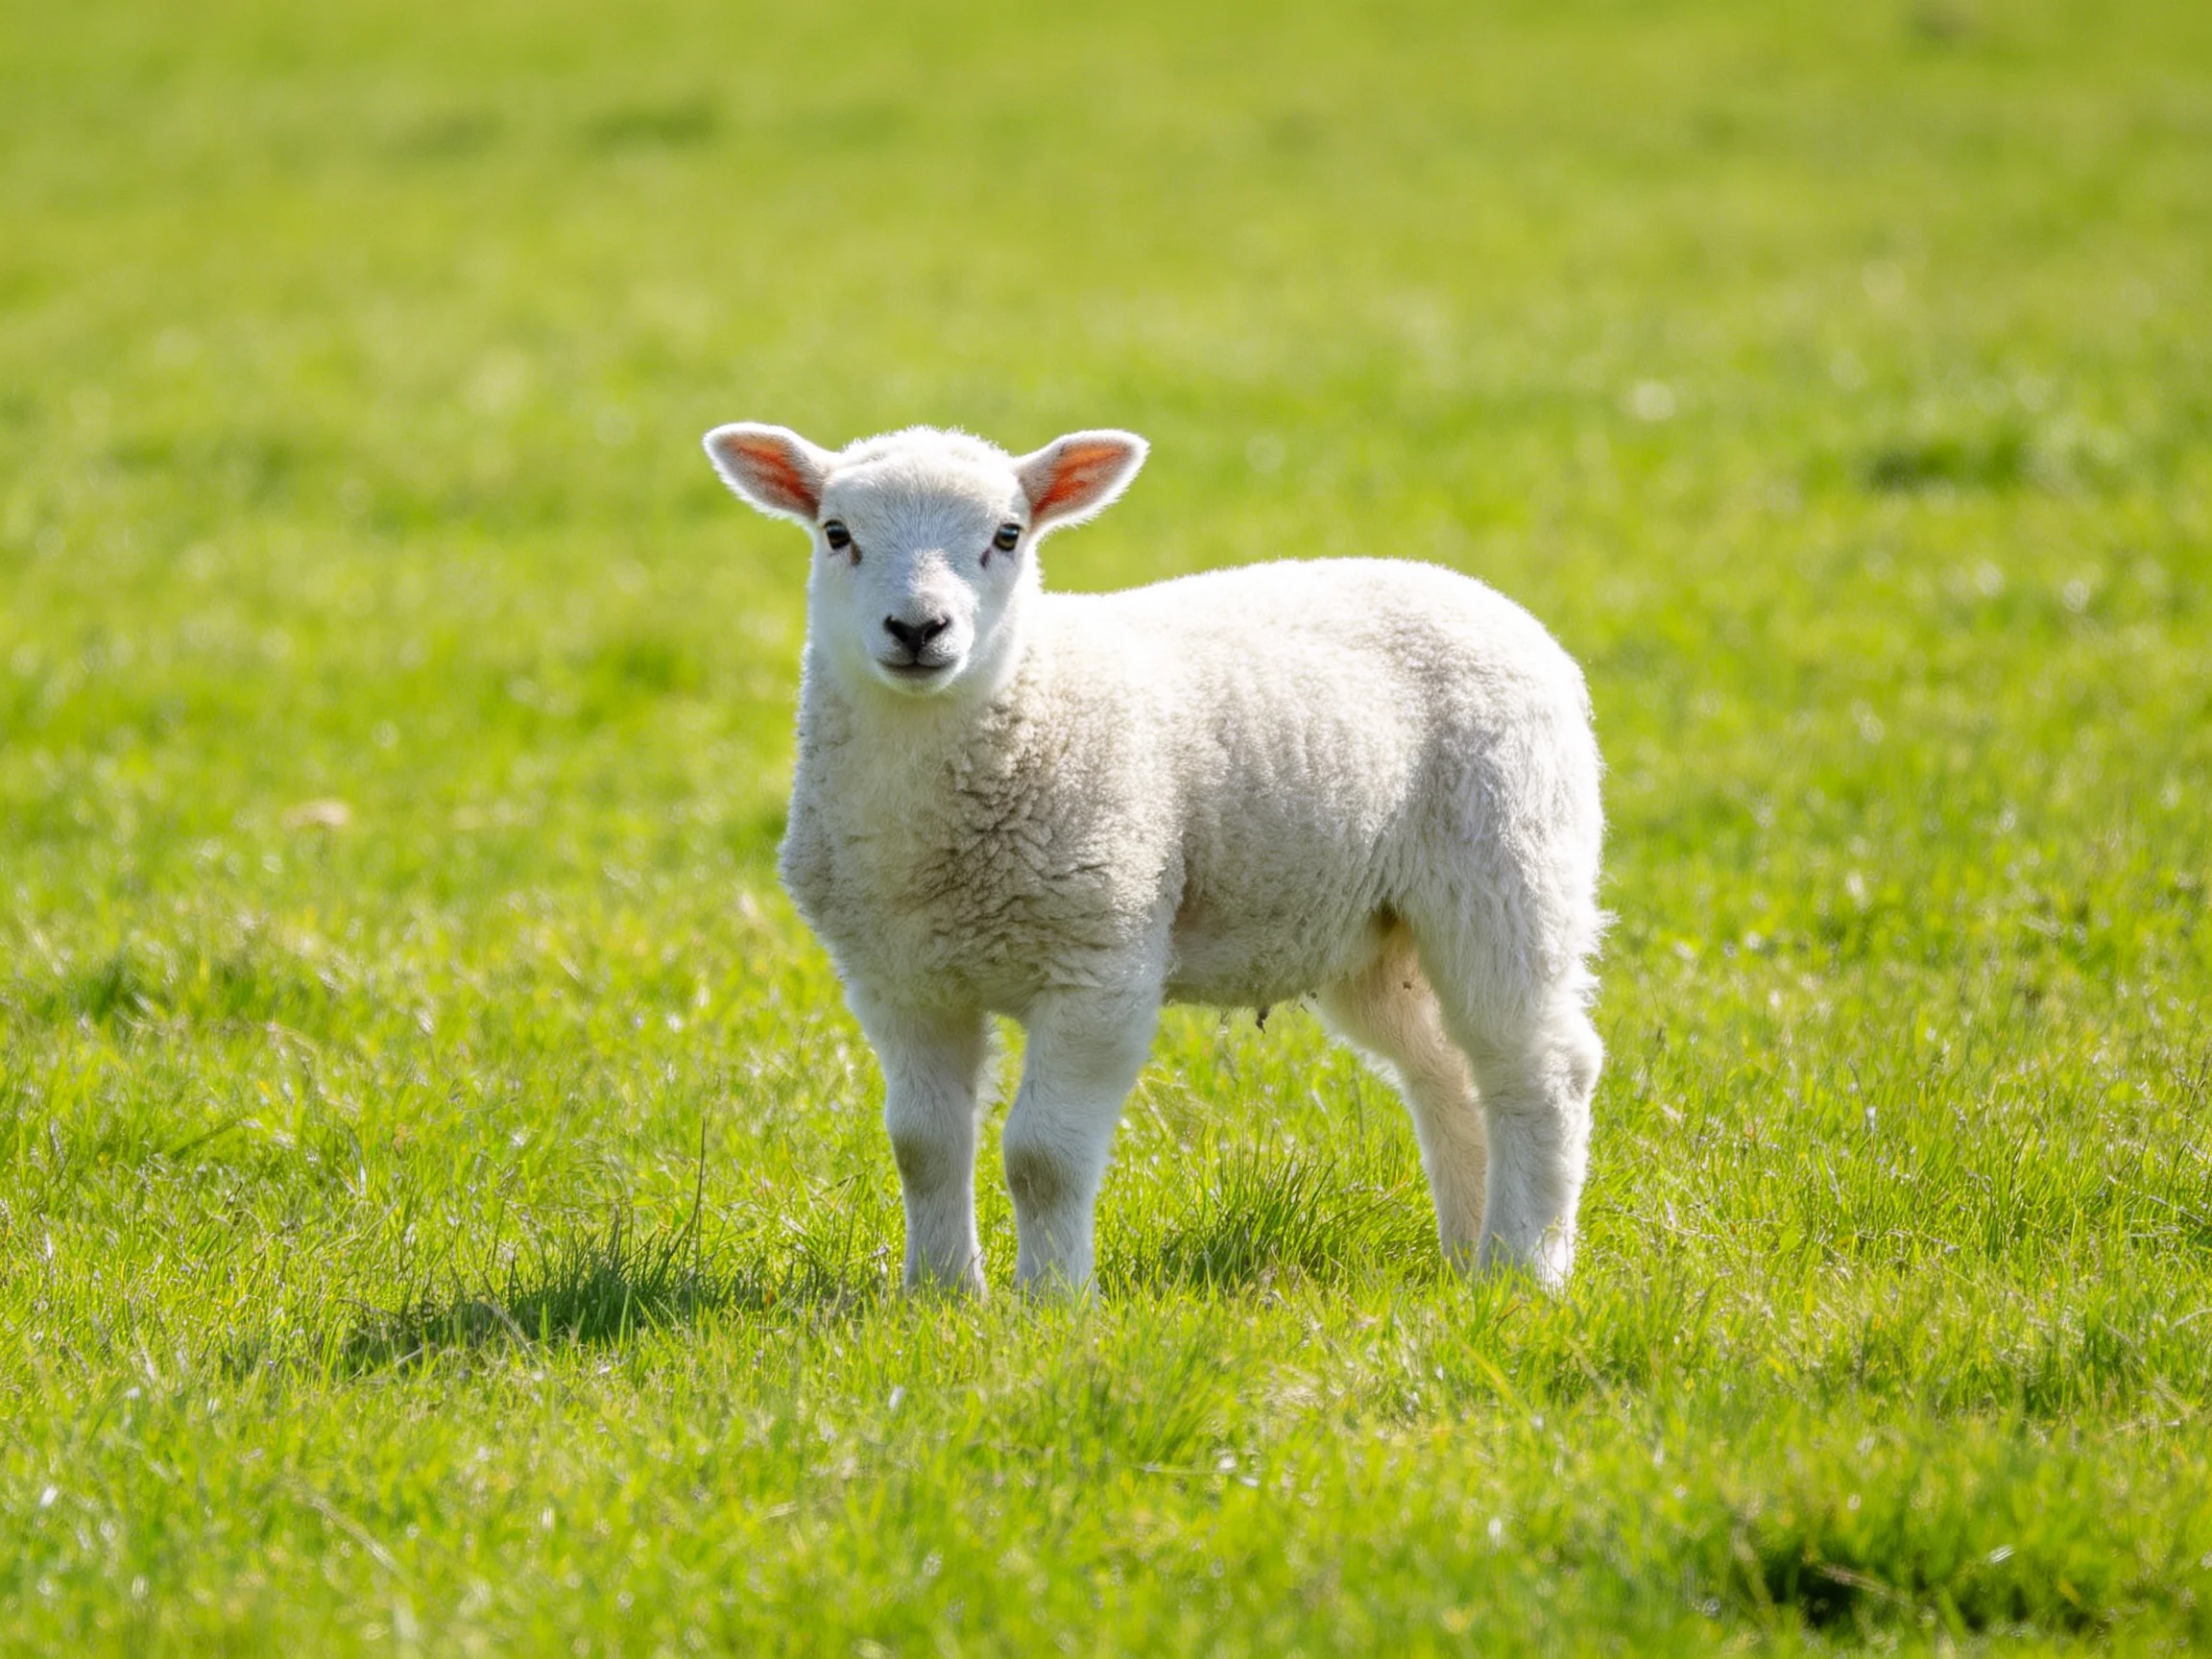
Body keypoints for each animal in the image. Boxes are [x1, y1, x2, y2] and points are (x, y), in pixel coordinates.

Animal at [702, 422, 1606, 1295]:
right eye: (836, 533)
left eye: (1007, 534)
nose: (920, 630)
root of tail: (1481, 597)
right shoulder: (900, 980)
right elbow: (923, 1147)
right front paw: (940, 1296)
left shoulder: (1101, 965)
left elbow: (1042, 1158)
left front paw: (1052, 1302)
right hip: (1374, 934)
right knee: (1448, 1074)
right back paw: (1468, 1252)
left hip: (1508, 868)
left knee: (1541, 1071)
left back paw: (1526, 1271)